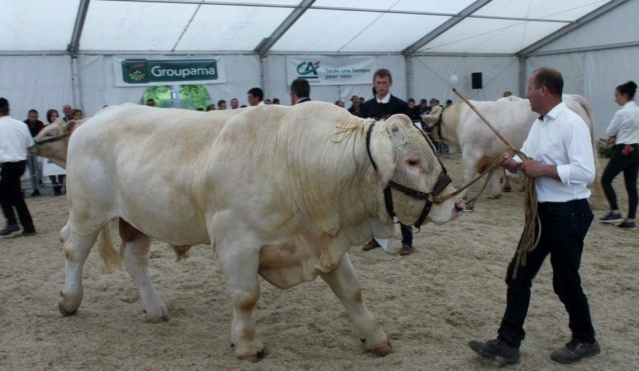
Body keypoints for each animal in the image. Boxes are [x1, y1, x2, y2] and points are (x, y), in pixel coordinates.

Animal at [57, 101, 462, 360]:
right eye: (412, 161)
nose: (456, 202)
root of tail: (92, 118)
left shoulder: (323, 241)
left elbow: (351, 291)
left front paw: (375, 337)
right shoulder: (236, 244)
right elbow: (246, 297)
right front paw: (248, 346)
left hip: (138, 218)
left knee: (135, 258)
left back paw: (155, 309)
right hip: (88, 209)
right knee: (74, 249)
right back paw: (69, 300)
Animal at [422, 96, 596, 201]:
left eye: (431, 115)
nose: (426, 132)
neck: (460, 118)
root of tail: (573, 98)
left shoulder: (471, 153)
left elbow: (468, 176)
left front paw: (462, 194)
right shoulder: (495, 155)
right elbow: (496, 174)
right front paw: (495, 193)